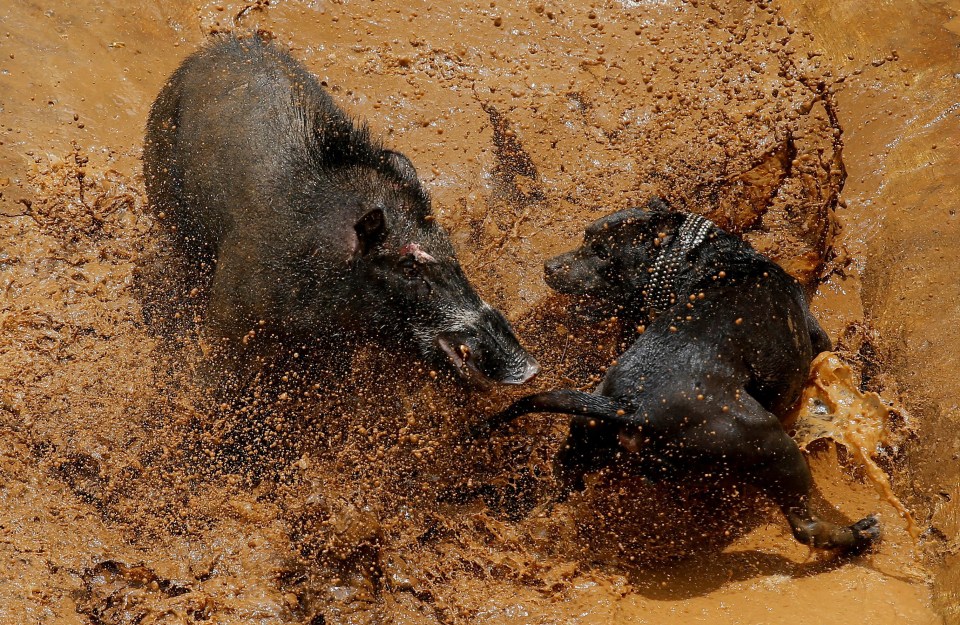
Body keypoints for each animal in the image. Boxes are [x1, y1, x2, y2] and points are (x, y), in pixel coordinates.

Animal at [476, 201, 880, 552]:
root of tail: (626, 405)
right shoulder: (816, 337)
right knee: (805, 525)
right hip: (771, 447)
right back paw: (857, 534)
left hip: (580, 444)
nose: (549, 266)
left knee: (558, 490)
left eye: (600, 250)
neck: (705, 257)